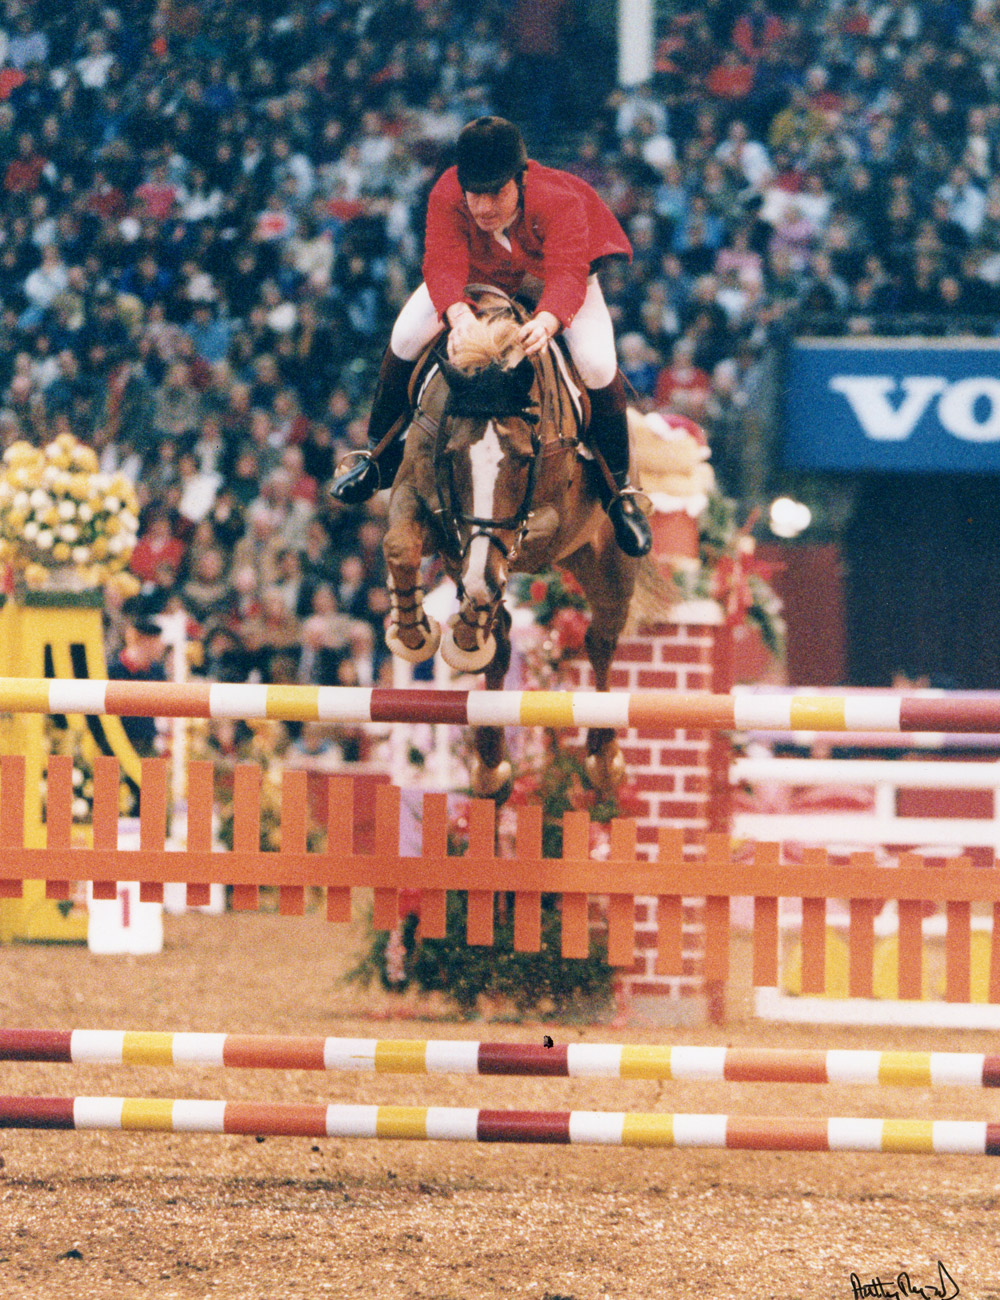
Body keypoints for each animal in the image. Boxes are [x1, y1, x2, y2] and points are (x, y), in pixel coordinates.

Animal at [379, 289, 660, 795]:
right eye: (453, 454)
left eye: (524, 459)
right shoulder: (417, 494)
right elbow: (402, 546)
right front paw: (415, 634)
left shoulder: (547, 525)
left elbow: (516, 543)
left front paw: (464, 622)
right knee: (505, 640)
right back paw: (491, 764)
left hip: (609, 564)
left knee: (601, 640)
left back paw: (604, 758)